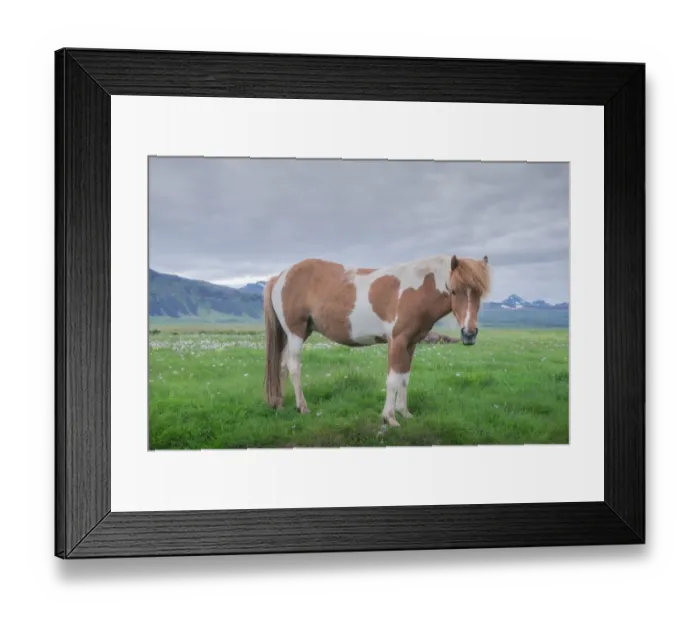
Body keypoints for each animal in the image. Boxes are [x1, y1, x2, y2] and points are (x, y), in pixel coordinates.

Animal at [263, 253, 491, 428]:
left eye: (479, 292)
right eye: (454, 290)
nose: (469, 334)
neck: (417, 289)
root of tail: (281, 276)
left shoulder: (411, 343)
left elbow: (405, 378)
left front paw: (404, 412)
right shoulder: (397, 342)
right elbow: (393, 380)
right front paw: (389, 418)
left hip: (300, 333)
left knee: (281, 366)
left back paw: (280, 405)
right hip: (296, 332)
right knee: (293, 367)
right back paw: (302, 407)